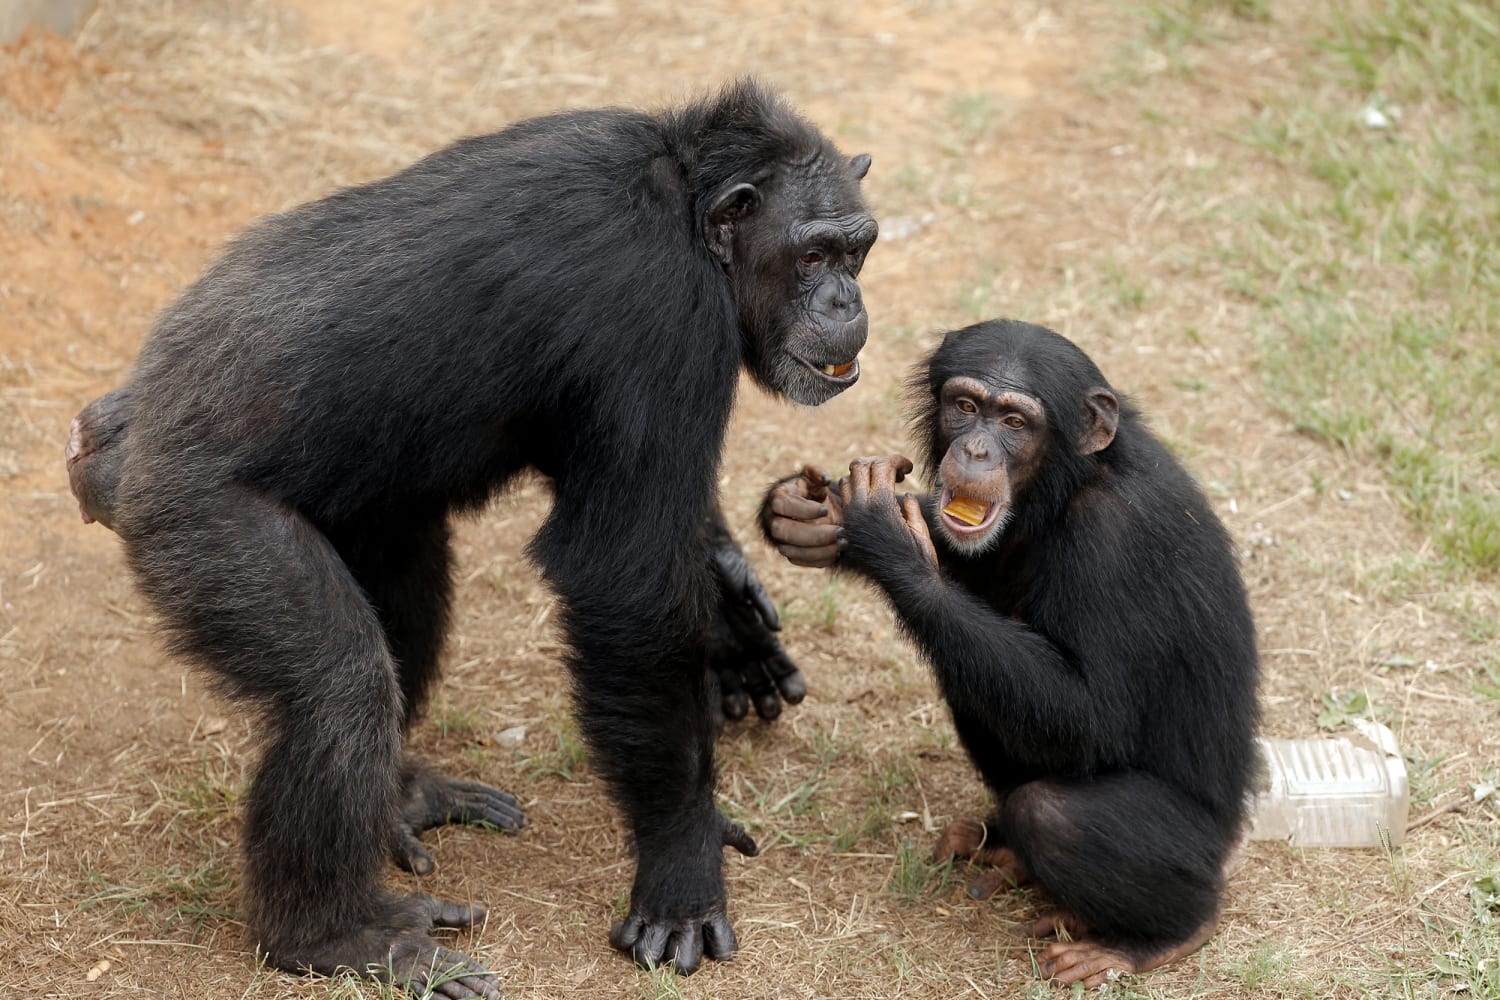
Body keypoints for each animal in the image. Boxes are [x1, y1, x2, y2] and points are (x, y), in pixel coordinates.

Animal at [61, 82, 876, 995]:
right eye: (812, 256)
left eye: (858, 252)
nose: (846, 301)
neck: (692, 210)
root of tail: (103, 438)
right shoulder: (664, 317)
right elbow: (624, 576)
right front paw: (682, 869)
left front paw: (733, 610)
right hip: (196, 521)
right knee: (337, 688)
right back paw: (334, 935)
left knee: (405, 592)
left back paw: (403, 798)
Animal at [756, 319, 1260, 983]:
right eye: (967, 408)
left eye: (1016, 422)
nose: (975, 451)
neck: (1065, 485)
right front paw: (806, 508)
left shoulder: (1114, 539)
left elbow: (1095, 712)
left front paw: (887, 539)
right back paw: (1006, 852)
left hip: (1197, 849)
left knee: (1052, 815)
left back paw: (1160, 935)